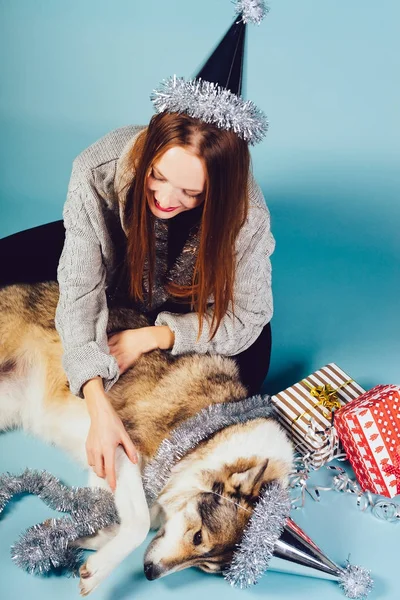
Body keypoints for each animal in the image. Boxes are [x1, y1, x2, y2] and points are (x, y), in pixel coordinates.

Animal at [0, 282, 294, 596]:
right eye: (198, 537)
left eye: (204, 567)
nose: (150, 574)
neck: (206, 438)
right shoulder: (121, 444)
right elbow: (140, 524)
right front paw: (98, 569)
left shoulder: (105, 467)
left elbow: (116, 519)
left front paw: (79, 539)